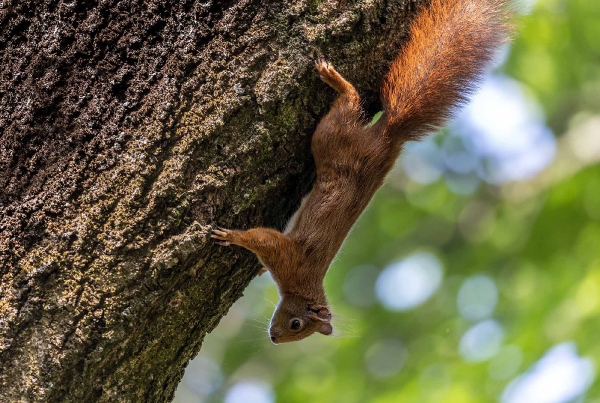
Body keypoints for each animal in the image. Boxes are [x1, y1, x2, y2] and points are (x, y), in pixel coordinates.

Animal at [211, 0, 510, 344]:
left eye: (297, 328)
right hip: (332, 137)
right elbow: (260, 238)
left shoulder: (286, 257)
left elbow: (262, 237)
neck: (304, 284)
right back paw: (334, 77)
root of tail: (388, 137)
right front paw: (232, 237)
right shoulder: (288, 256)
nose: (274, 338)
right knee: (350, 102)